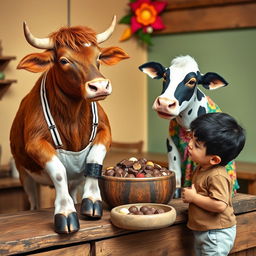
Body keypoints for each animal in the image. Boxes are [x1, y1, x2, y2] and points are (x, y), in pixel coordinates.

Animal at [139, 55, 237, 192]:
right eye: (165, 76)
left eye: (192, 81)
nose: (164, 103)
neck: (187, 123)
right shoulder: (171, 143)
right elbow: (175, 170)